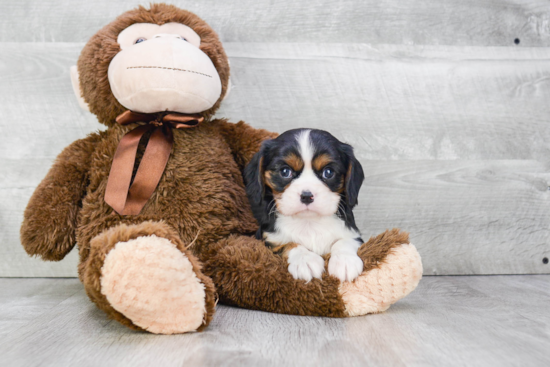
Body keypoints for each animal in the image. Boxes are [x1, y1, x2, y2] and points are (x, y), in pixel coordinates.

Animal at [246, 128, 366, 284]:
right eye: (285, 171)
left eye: (328, 172)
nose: (307, 196)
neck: (309, 222)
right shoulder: (268, 241)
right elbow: (289, 244)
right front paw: (305, 260)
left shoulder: (353, 234)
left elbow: (344, 242)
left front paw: (345, 261)